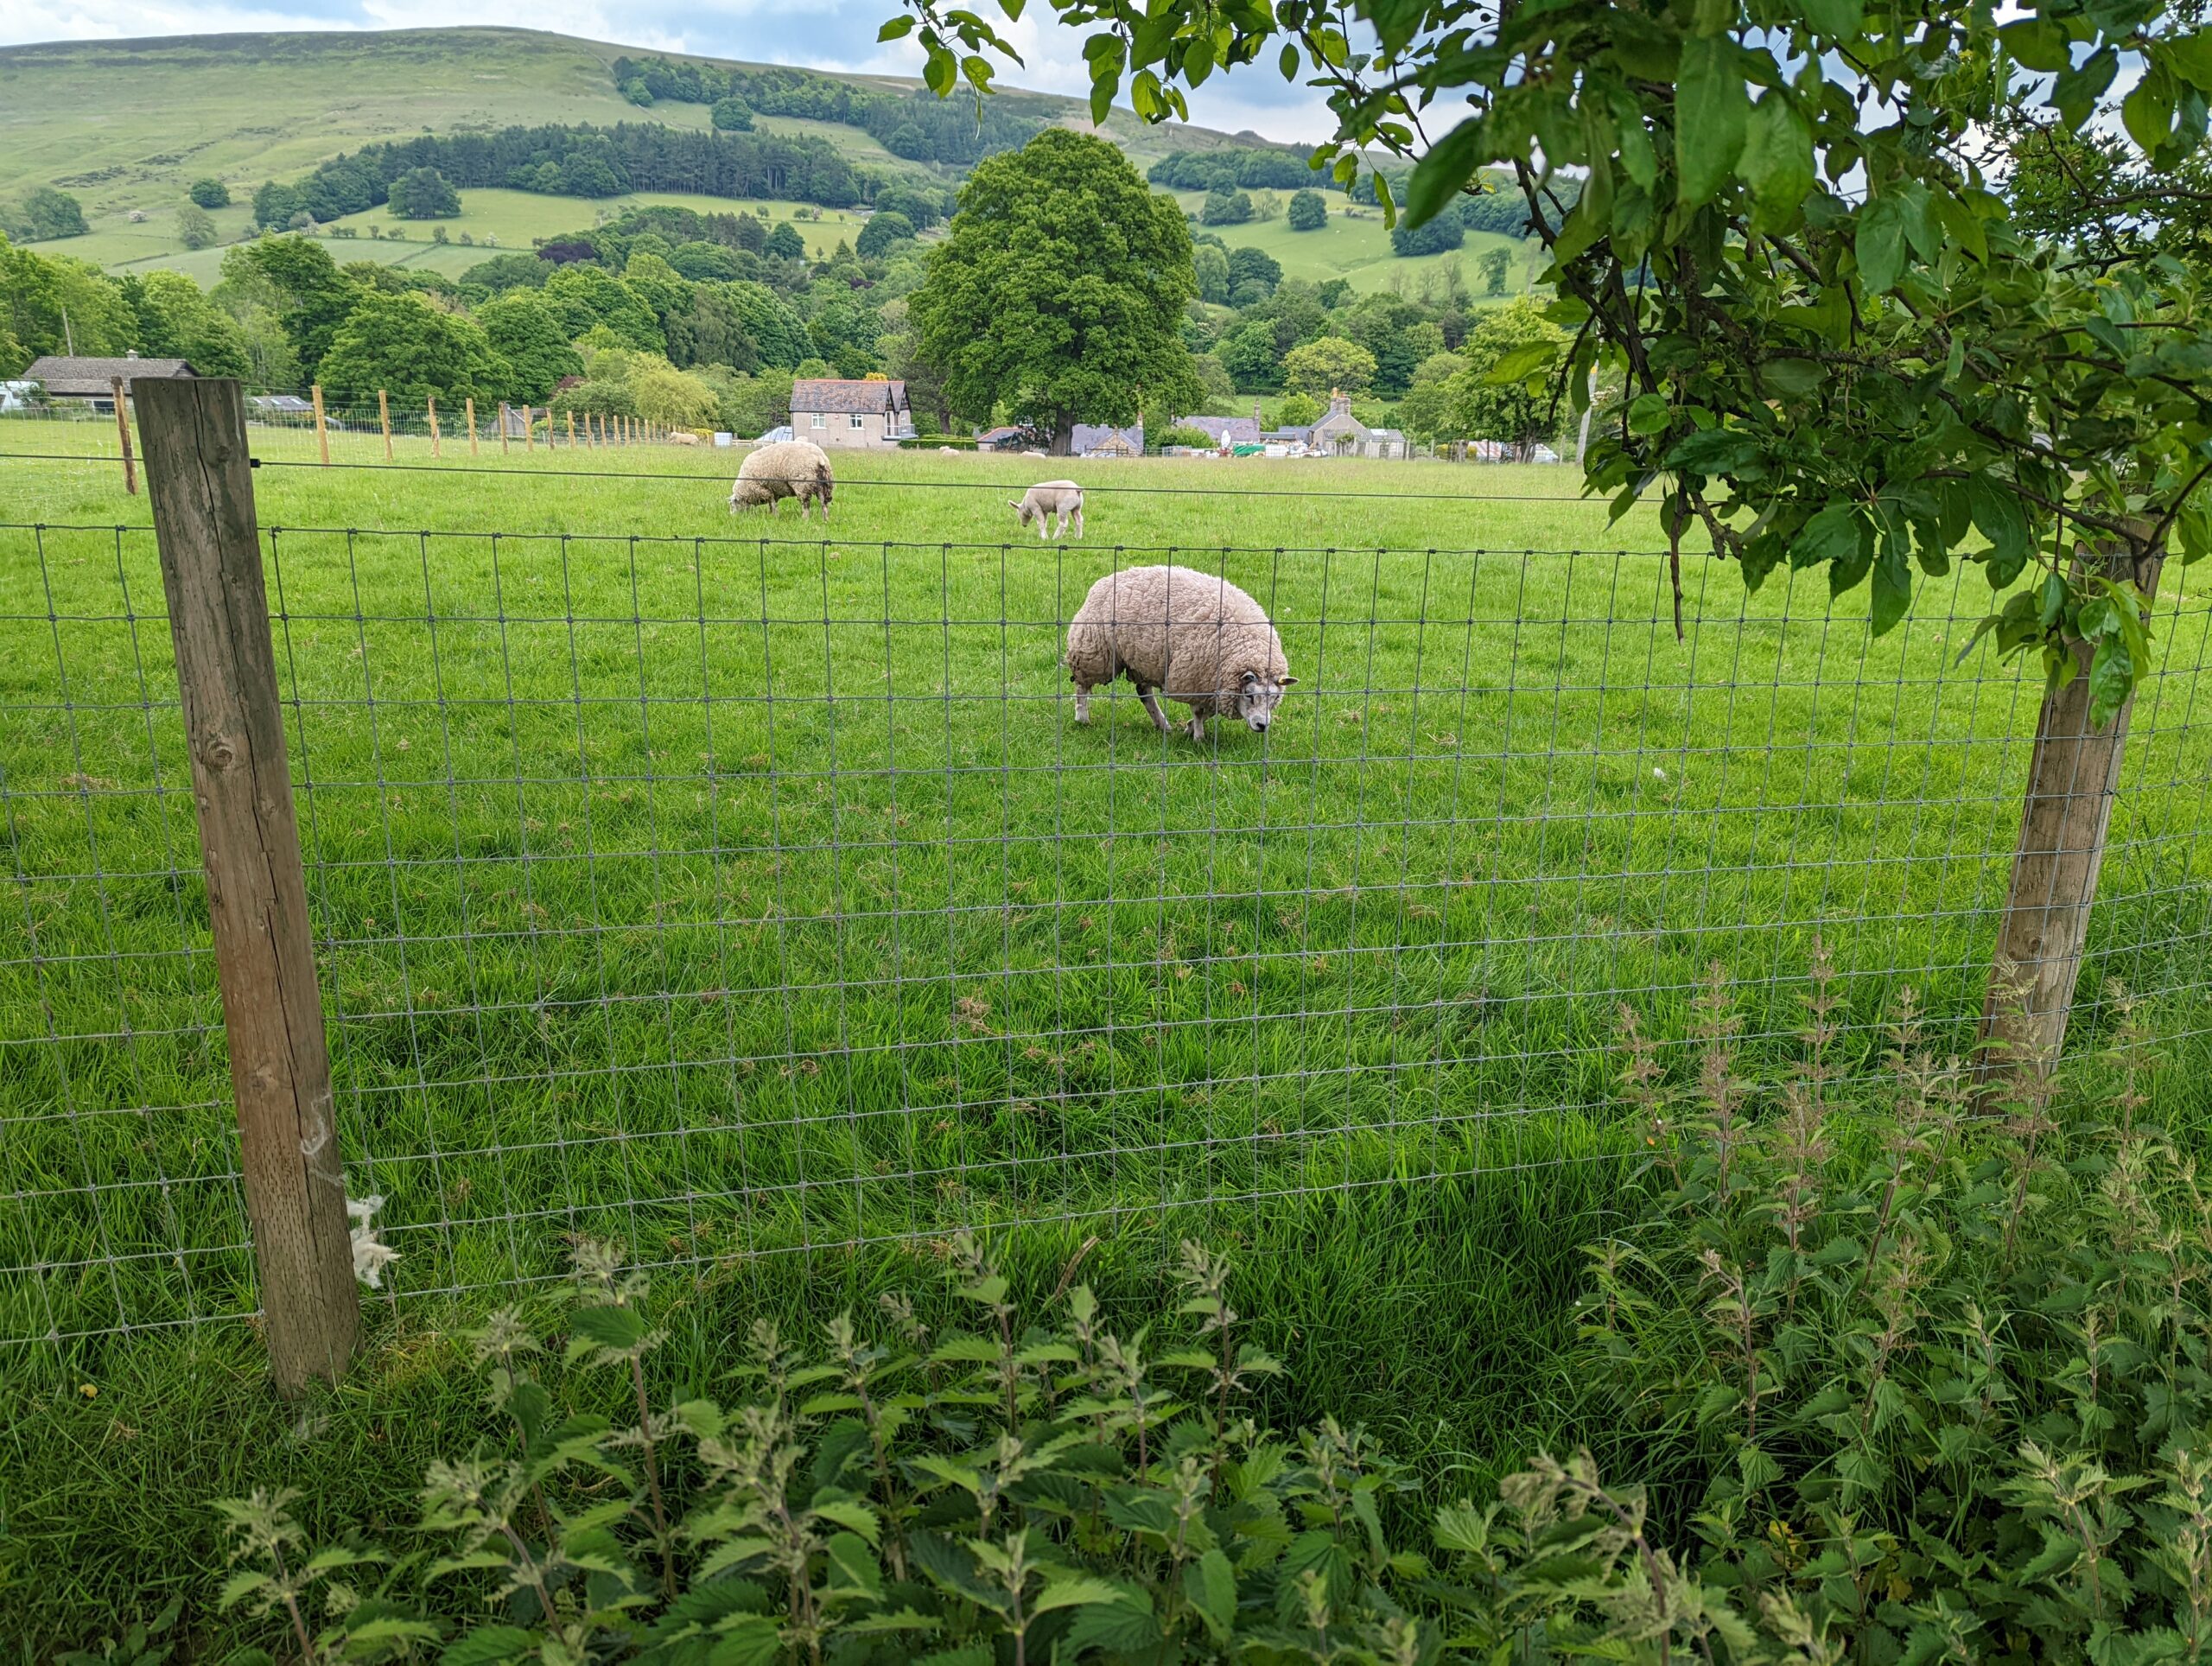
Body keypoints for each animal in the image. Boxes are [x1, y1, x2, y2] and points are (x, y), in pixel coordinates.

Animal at [1063, 565, 1296, 741]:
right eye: (1249, 695)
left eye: (1276, 698)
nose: (1262, 725)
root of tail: (1108, 579)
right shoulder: (1193, 678)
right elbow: (1200, 711)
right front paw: (1198, 737)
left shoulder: (1211, 683)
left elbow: (1208, 711)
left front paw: (1189, 727)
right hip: (1094, 652)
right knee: (1082, 686)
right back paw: (1082, 717)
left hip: (1145, 660)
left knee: (1144, 692)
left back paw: (1162, 724)